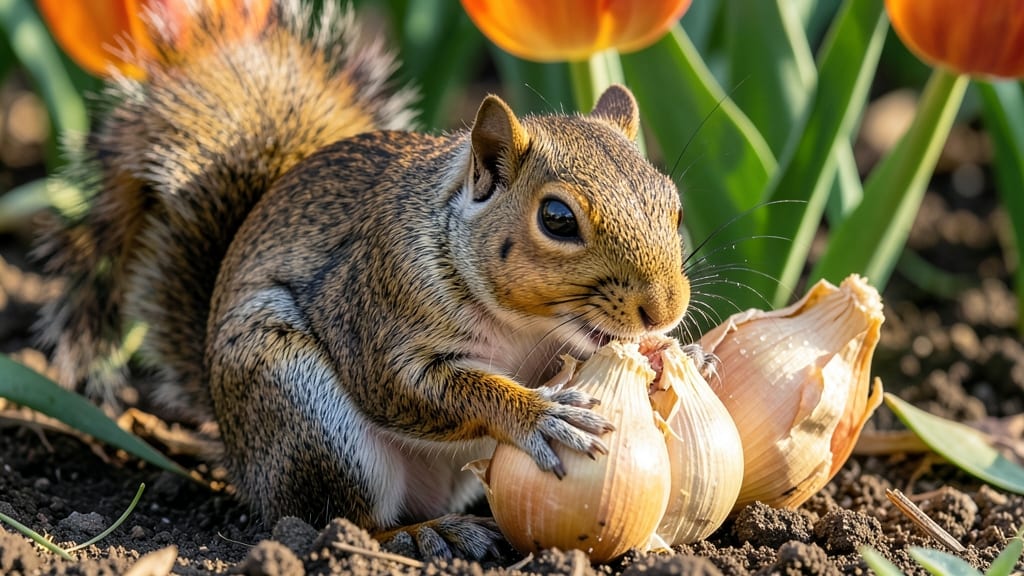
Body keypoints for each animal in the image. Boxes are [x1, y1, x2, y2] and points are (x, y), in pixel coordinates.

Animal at [36, 0, 692, 559]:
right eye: (556, 219)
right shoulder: (377, 305)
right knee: (345, 518)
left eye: (676, 205)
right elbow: (419, 387)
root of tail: (241, 458)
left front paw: (662, 353)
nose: (663, 310)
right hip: (306, 414)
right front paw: (541, 415)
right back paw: (425, 534)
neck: (524, 324)